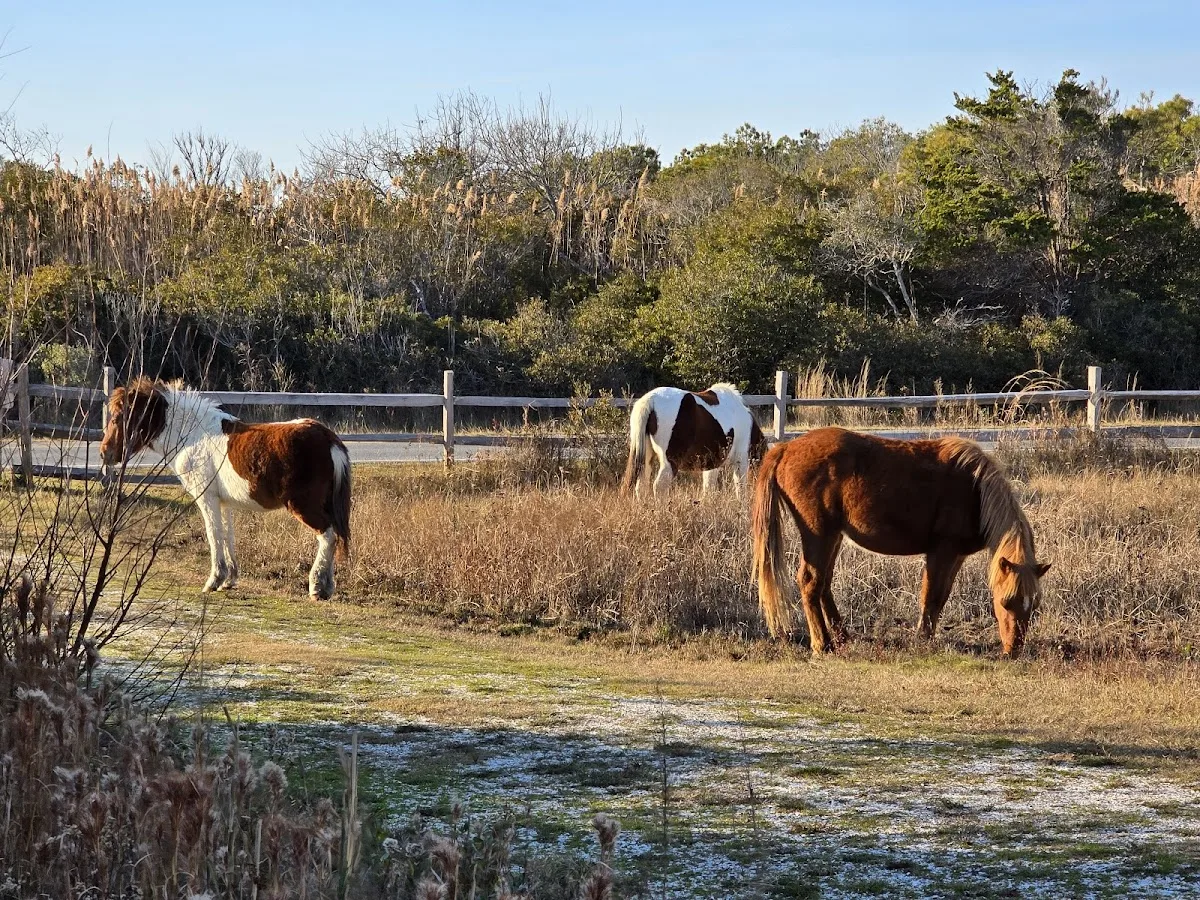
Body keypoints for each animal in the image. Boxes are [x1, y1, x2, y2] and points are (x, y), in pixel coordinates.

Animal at [100, 378, 352, 600]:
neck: (193, 435)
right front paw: (229, 580)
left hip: (303, 506)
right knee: (335, 536)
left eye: (119, 417)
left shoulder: (207, 498)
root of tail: (329, 439)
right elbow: (228, 535)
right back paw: (328, 586)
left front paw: (214, 580)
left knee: (328, 535)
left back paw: (317, 586)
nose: (105, 453)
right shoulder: (224, 501)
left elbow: (214, 534)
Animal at [622, 383, 767, 497]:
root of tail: (650, 400)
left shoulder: (712, 465)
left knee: (641, 486)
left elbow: (708, 489)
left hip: (646, 458)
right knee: (659, 487)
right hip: (669, 462)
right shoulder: (740, 461)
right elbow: (741, 490)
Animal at [751, 427, 1049, 658]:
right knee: (811, 582)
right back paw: (822, 644)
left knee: (823, 583)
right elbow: (931, 596)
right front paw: (923, 639)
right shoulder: (941, 552)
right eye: (1005, 602)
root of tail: (785, 448)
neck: (975, 489)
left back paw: (841, 636)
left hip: (833, 536)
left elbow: (941, 597)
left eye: (1033, 605)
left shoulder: (956, 556)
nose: (1013, 650)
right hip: (819, 534)